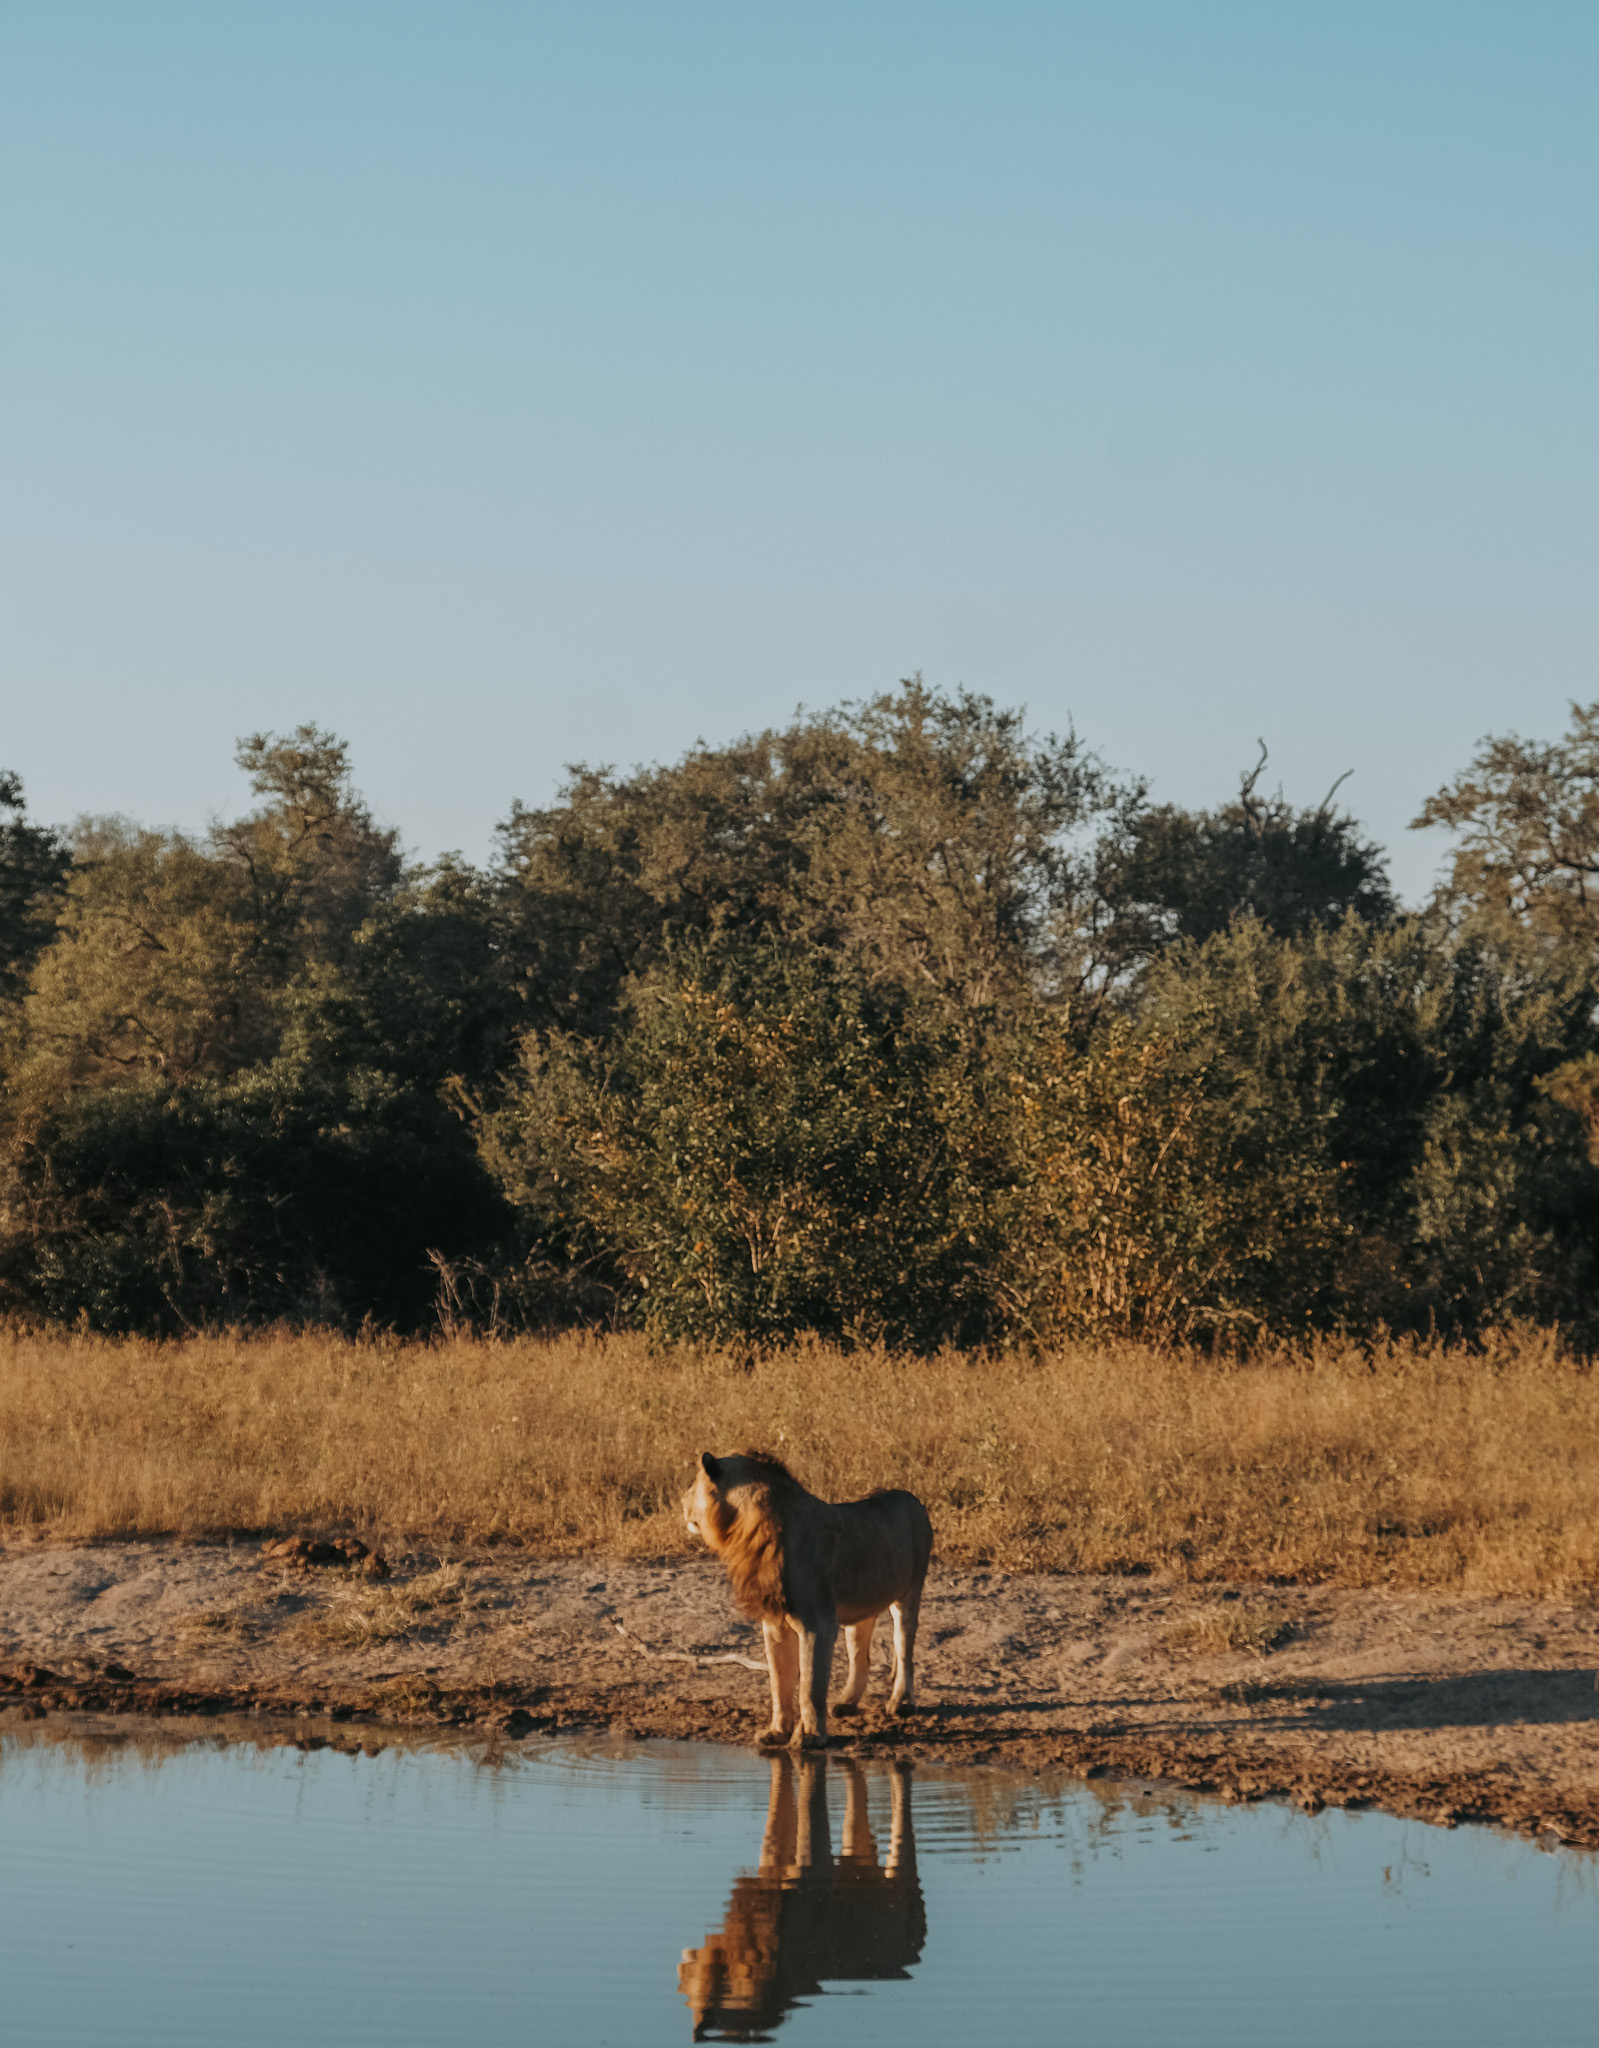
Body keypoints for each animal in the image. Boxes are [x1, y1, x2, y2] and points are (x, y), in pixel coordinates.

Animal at [675, 1449, 929, 1753]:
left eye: (693, 1485)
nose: (681, 1502)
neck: (749, 1528)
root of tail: (912, 1497)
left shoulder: (818, 1623)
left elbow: (810, 1684)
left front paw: (809, 1736)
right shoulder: (774, 1623)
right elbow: (779, 1683)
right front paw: (776, 1732)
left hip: (910, 1591)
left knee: (904, 1649)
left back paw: (901, 1703)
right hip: (863, 1604)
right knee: (860, 1654)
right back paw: (846, 1704)